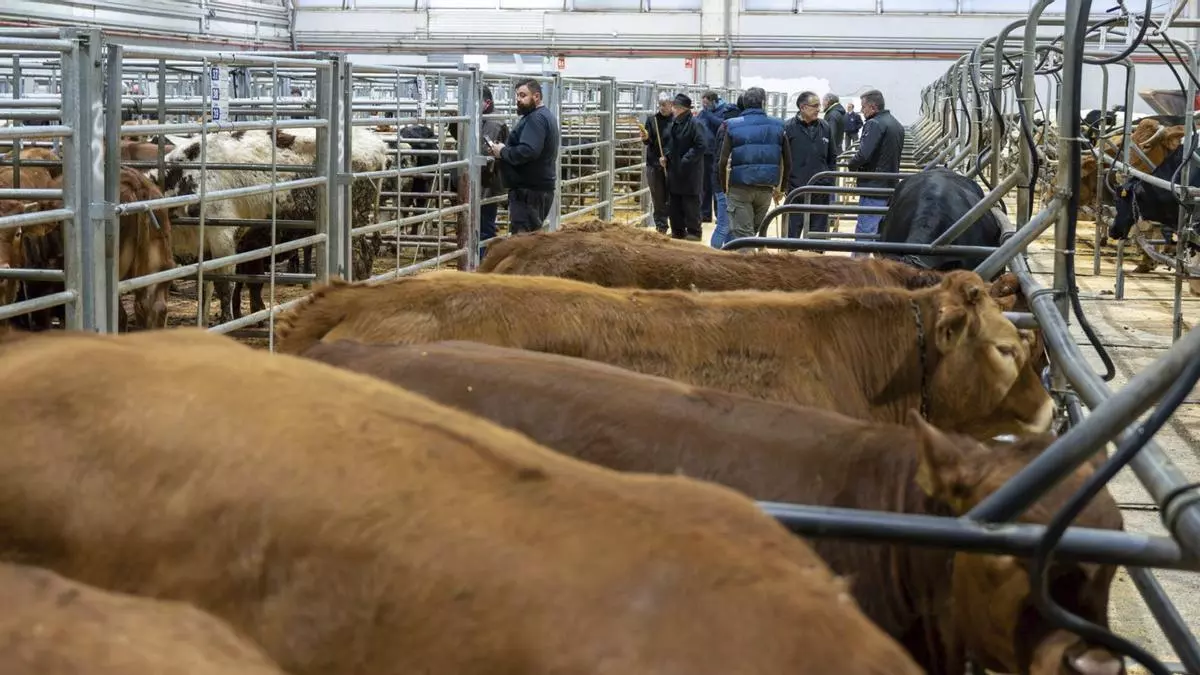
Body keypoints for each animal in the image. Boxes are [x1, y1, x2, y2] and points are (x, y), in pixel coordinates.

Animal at [156, 127, 389, 325]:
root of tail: (378, 144)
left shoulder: (223, 237)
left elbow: (225, 285)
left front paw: (227, 320)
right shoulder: (204, 247)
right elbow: (206, 285)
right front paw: (202, 322)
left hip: (355, 221)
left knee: (361, 258)